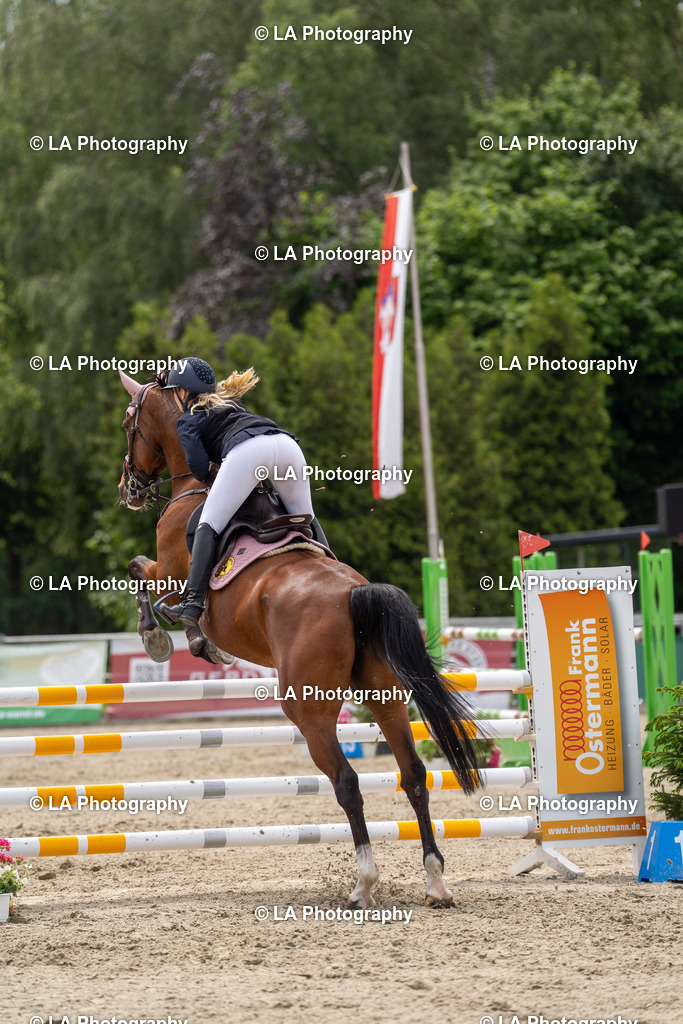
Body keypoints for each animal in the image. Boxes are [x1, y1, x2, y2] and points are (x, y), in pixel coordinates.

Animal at [117, 368, 481, 909]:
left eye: (129, 423)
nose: (129, 488)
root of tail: (355, 593)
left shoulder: (171, 572)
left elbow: (141, 573)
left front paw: (166, 637)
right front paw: (196, 641)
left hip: (308, 709)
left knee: (347, 782)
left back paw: (363, 884)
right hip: (385, 695)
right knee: (414, 774)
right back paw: (435, 881)